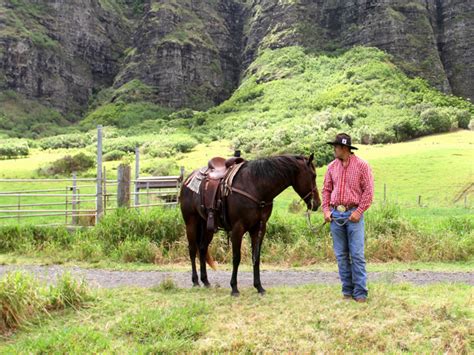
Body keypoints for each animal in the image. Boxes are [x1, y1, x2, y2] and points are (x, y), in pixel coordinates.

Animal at [180, 154, 320, 296]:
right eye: (313, 175)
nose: (317, 203)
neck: (255, 186)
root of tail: (188, 179)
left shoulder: (259, 228)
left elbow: (256, 257)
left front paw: (259, 287)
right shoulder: (238, 229)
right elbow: (236, 258)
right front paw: (234, 288)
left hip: (207, 225)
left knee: (202, 248)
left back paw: (206, 281)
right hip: (191, 222)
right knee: (192, 249)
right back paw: (195, 281)